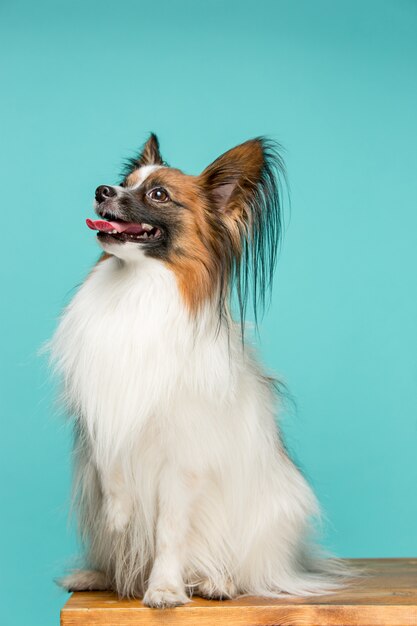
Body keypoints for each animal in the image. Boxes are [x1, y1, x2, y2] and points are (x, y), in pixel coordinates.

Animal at [49, 132, 344, 604]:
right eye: (123, 183)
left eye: (158, 195)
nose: (101, 191)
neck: (138, 289)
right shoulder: (105, 412)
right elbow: (114, 477)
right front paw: (119, 518)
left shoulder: (181, 462)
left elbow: (169, 532)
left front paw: (164, 589)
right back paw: (97, 575)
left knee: (242, 572)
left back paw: (214, 582)